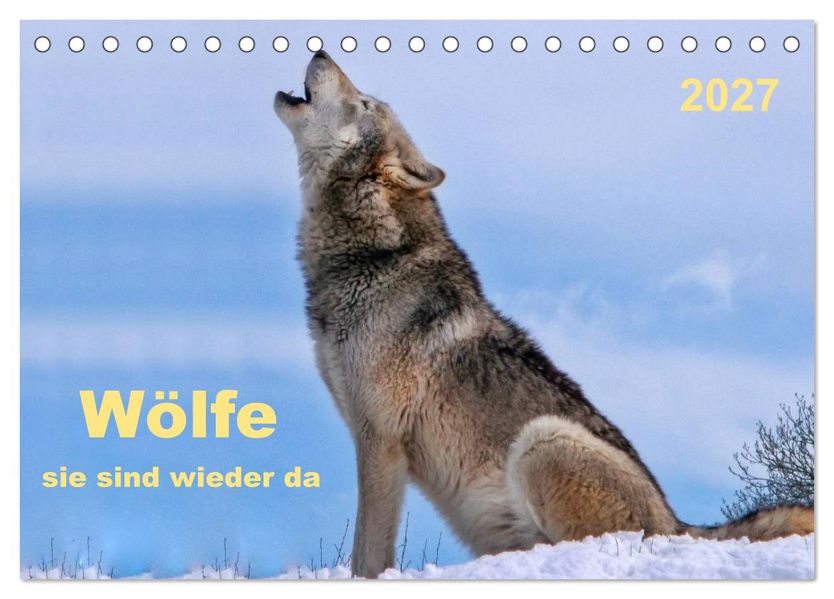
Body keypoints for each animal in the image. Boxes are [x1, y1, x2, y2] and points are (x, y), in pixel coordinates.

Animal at [274, 51, 813, 578]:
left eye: (364, 102)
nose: (321, 50)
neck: (373, 256)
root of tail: (679, 525)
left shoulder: (381, 439)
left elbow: (368, 555)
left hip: (542, 439)